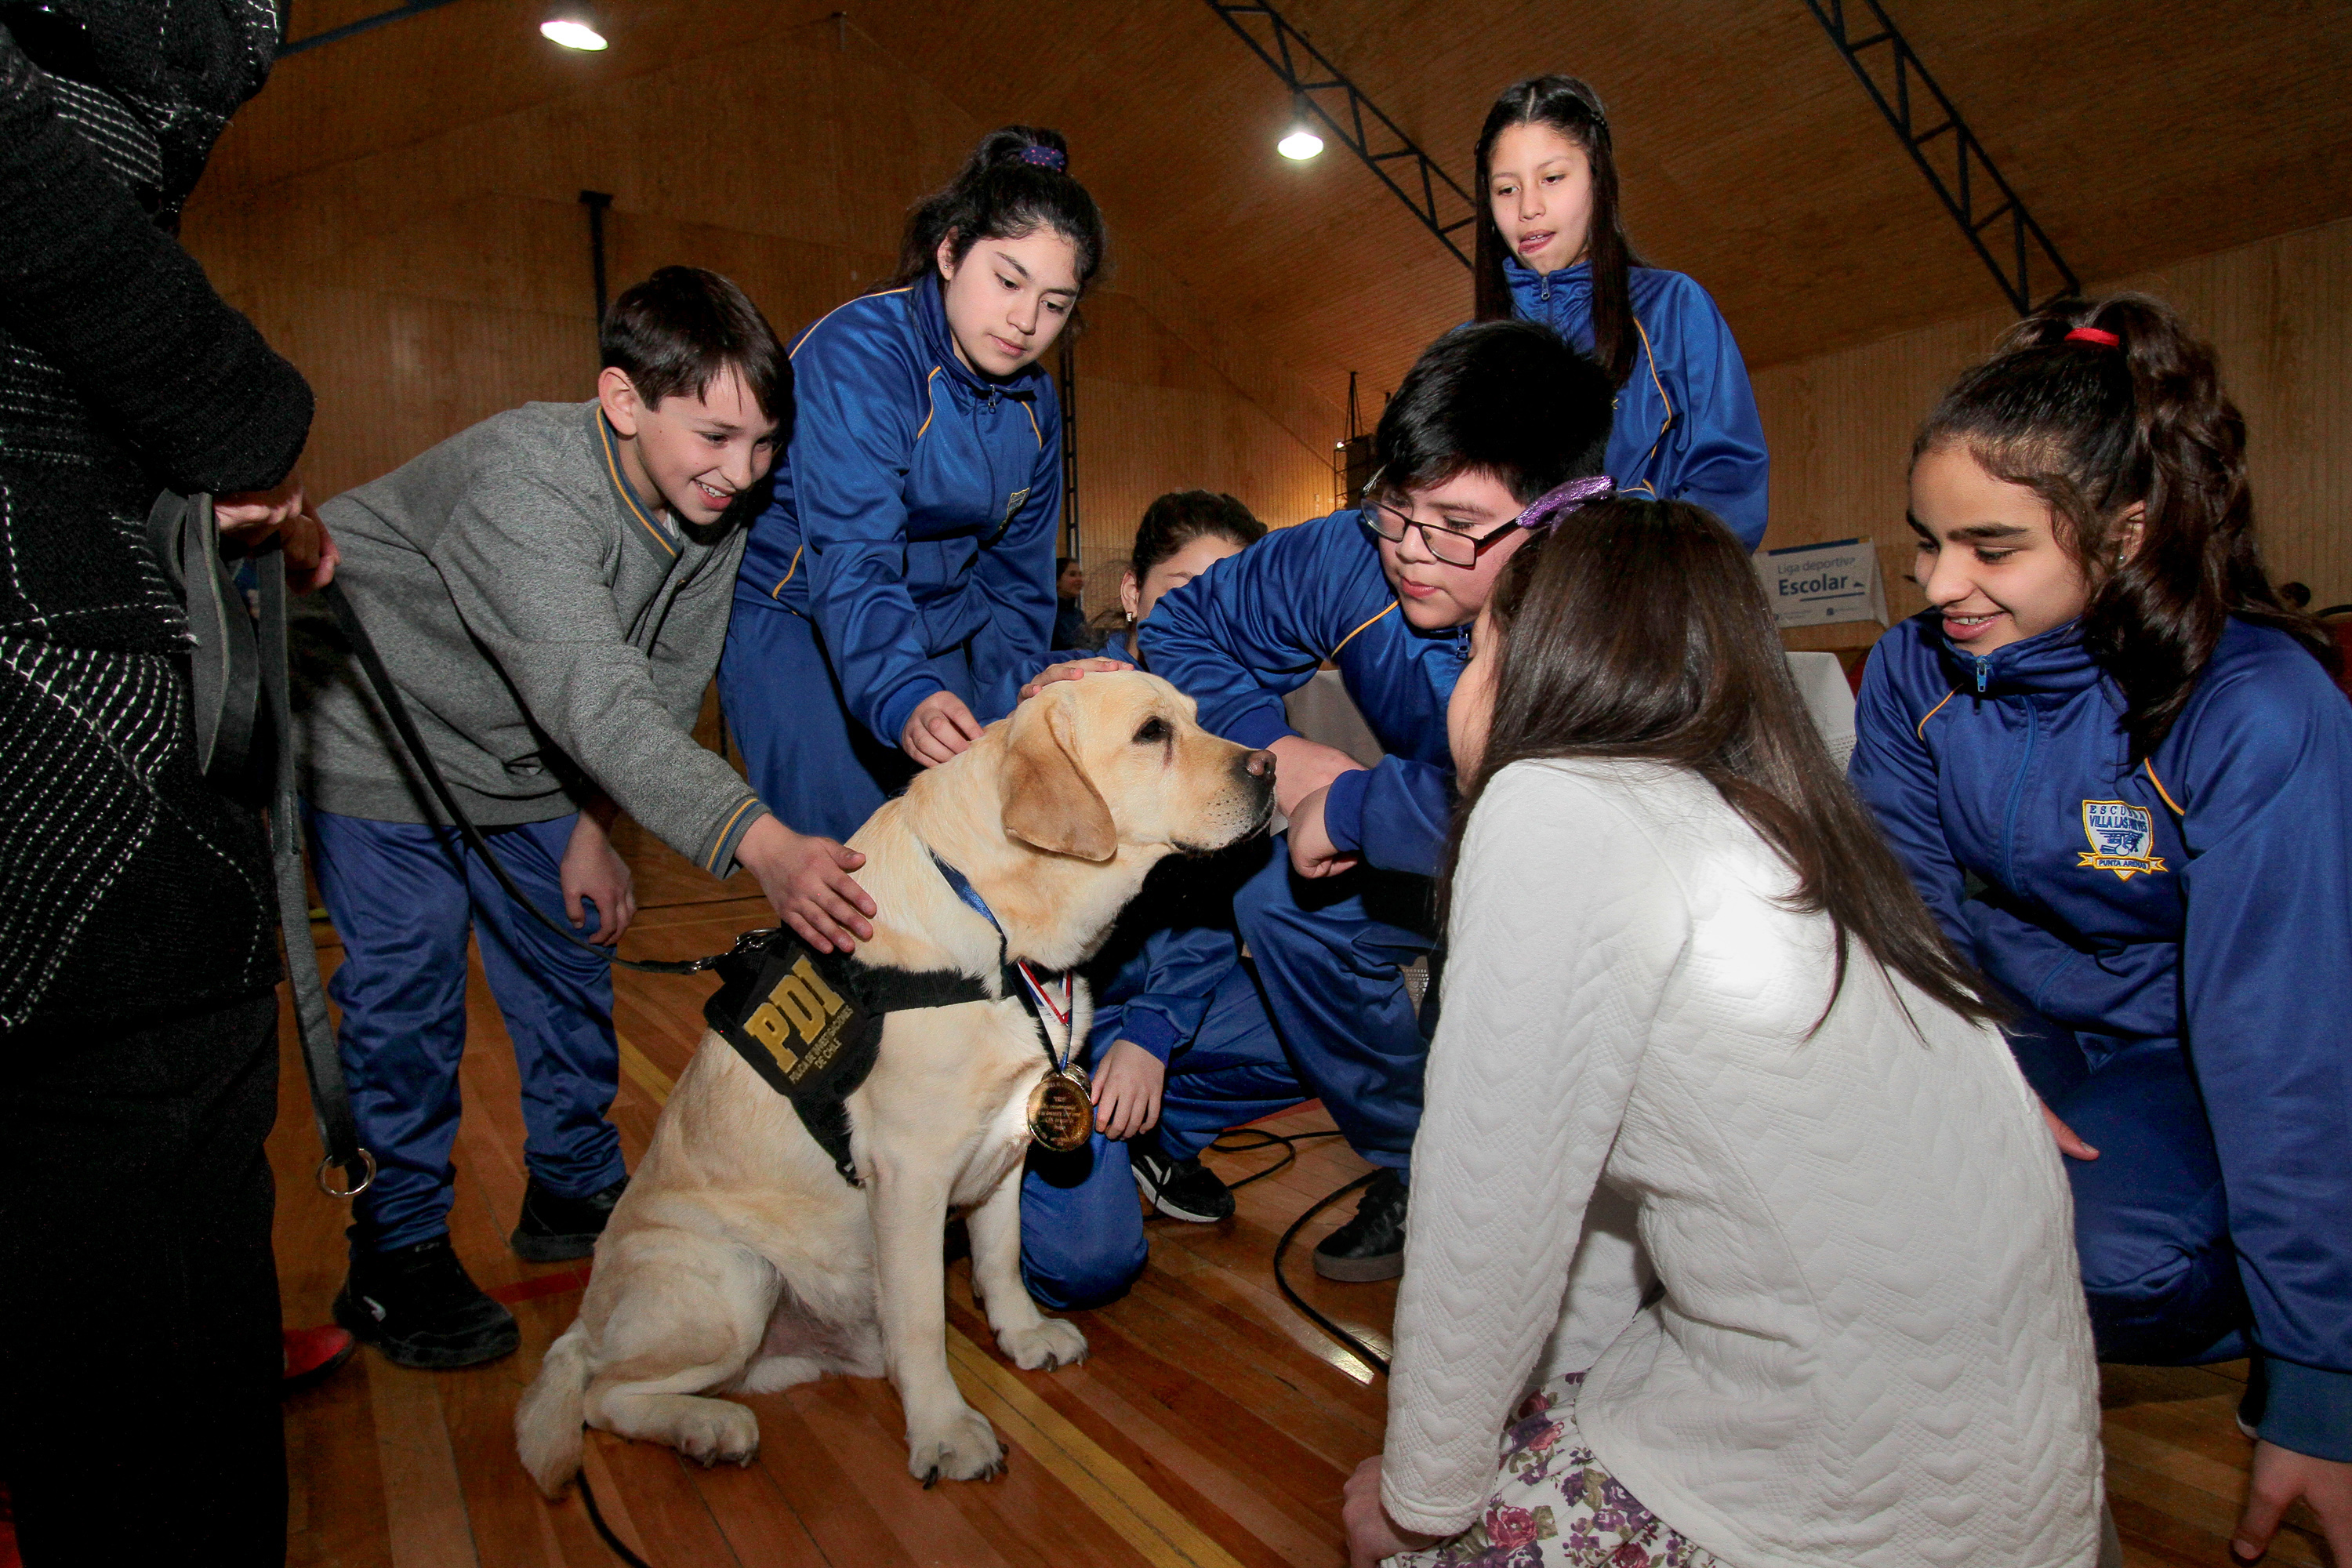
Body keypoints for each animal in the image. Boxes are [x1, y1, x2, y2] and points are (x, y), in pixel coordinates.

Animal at [520, 672, 1270, 1495]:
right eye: (1151, 733)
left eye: (1196, 717)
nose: (1269, 765)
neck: (999, 933)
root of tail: (585, 1319)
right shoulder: (910, 1175)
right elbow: (920, 1322)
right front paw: (945, 1432)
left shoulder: (1008, 1142)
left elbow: (1001, 1258)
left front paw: (1022, 1334)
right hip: (736, 1277)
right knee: (601, 1392)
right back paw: (709, 1429)